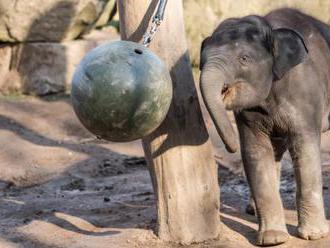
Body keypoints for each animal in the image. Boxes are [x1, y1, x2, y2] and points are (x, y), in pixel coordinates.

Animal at [200, 7, 328, 246]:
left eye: (244, 58)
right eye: (201, 62)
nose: (230, 147)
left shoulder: (306, 92)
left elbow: (305, 148)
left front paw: (314, 235)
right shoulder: (247, 113)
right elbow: (255, 151)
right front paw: (273, 239)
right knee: (275, 149)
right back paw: (252, 210)